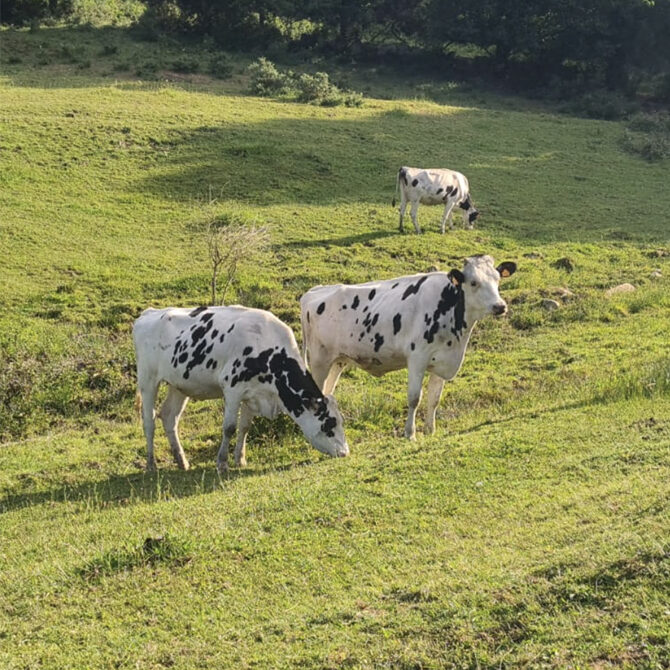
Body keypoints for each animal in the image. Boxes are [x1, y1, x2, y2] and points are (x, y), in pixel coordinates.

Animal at [133, 304, 352, 472]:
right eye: (329, 424)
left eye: (341, 421)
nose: (344, 452)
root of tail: (149, 313)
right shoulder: (232, 389)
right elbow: (229, 427)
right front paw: (222, 463)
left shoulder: (253, 393)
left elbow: (245, 427)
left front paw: (240, 459)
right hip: (147, 379)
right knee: (149, 421)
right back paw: (151, 465)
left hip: (180, 384)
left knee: (169, 416)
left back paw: (182, 462)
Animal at [302, 256, 516, 440]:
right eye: (473, 283)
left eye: (497, 279)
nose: (500, 306)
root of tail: (313, 292)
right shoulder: (417, 358)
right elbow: (414, 398)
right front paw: (410, 433)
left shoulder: (442, 360)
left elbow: (434, 398)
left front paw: (430, 430)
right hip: (319, 360)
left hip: (337, 360)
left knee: (327, 392)